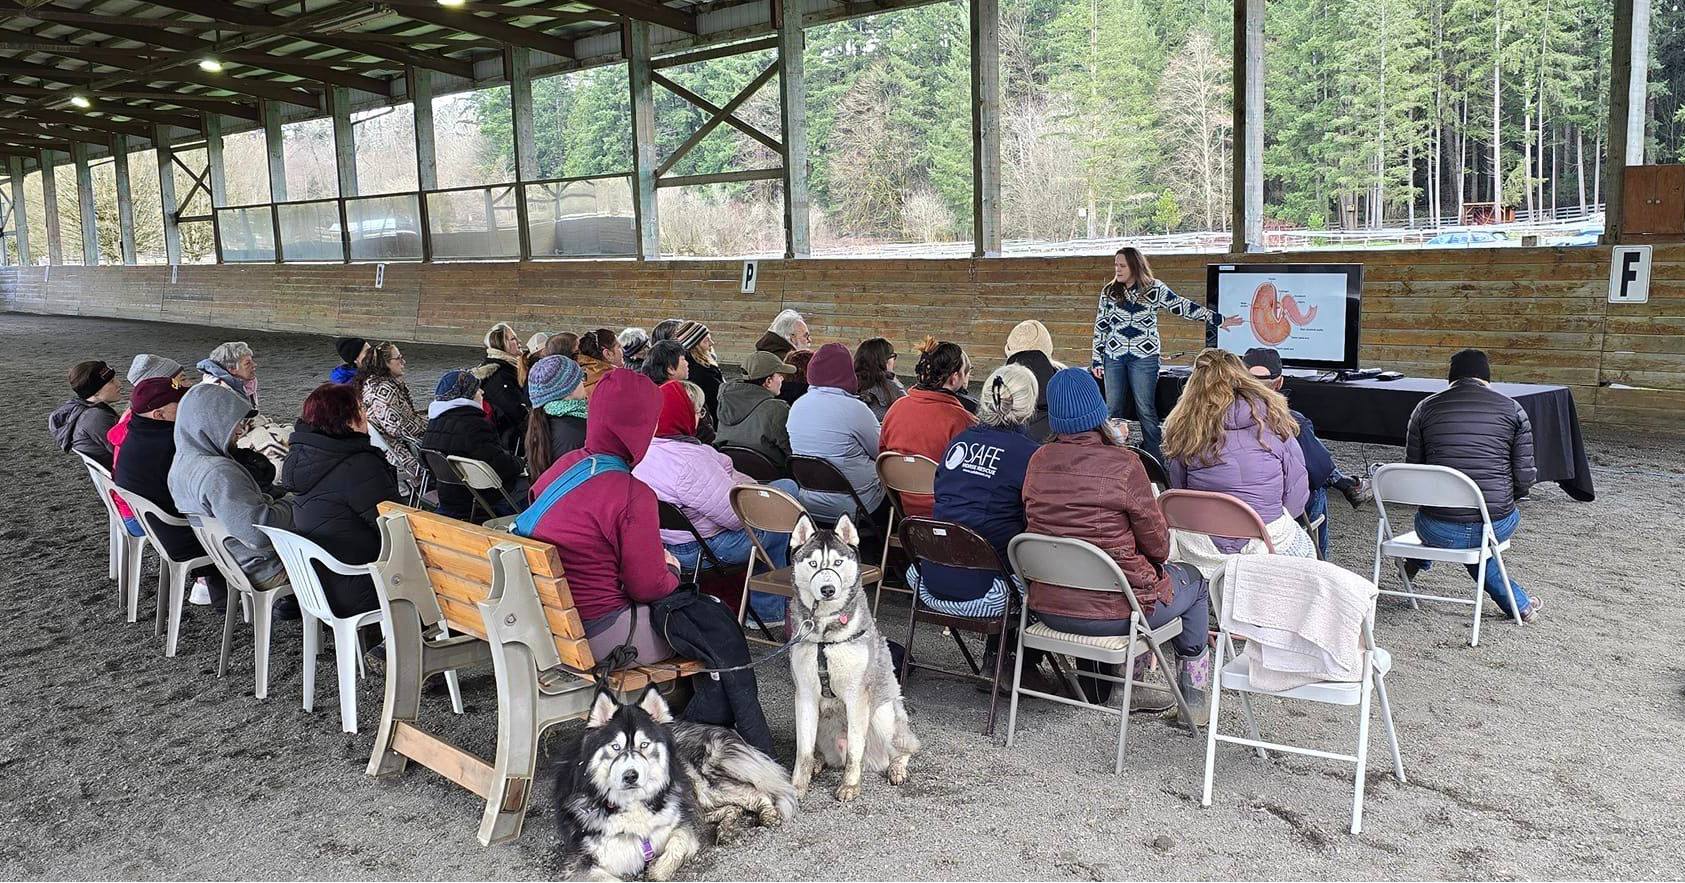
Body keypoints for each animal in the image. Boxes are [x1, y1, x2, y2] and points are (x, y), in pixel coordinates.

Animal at [549, 690, 791, 883]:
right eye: (615, 747)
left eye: (644, 745)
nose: (631, 776)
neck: (632, 804)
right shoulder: (580, 864)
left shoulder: (681, 827)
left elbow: (676, 847)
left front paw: (657, 869)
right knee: (729, 808)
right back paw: (726, 828)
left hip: (702, 788)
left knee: (755, 792)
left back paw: (768, 815)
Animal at [785, 512, 923, 802]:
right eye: (813, 563)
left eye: (837, 562)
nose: (827, 589)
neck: (824, 637)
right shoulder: (804, 696)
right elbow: (803, 752)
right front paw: (797, 786)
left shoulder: (857, 696)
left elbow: (854, 752)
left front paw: (850, 785)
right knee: (821, 752)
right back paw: (818, 762)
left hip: (883, 715)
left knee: (903, 749)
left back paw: (896, 768)